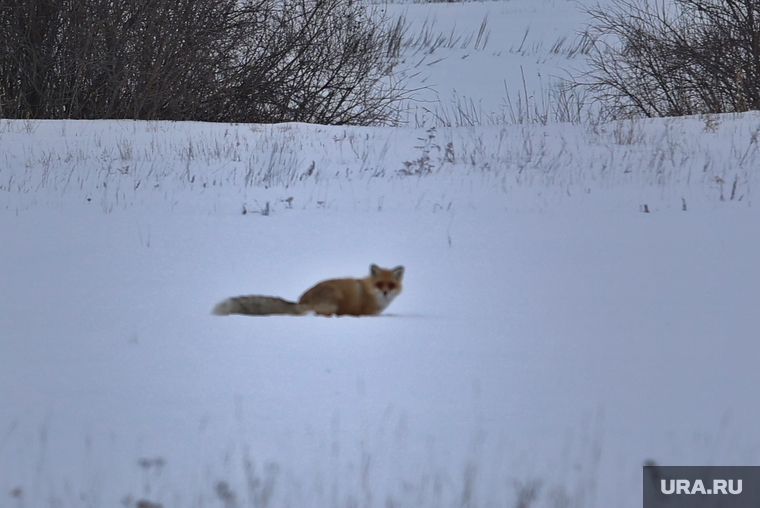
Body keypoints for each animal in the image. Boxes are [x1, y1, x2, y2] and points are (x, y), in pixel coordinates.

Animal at [212, 264, 404, 316]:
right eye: (379, 284)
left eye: (390, 285)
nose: (385, 293)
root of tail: (300, 301)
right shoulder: (365, 313)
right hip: (332, 301)